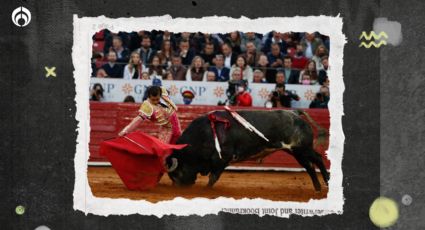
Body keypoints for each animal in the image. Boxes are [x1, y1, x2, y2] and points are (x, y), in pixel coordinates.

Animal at [165, 110, 328, 191]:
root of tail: (295, 115)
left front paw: (205, 191)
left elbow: (213, 178)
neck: (204, 134)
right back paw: (318, 187)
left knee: (318, 159)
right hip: (296, 152)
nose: (178, 188)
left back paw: (326, 181)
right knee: (309, 166)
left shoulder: (222, 159)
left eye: (177, 173)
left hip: (302, 148)